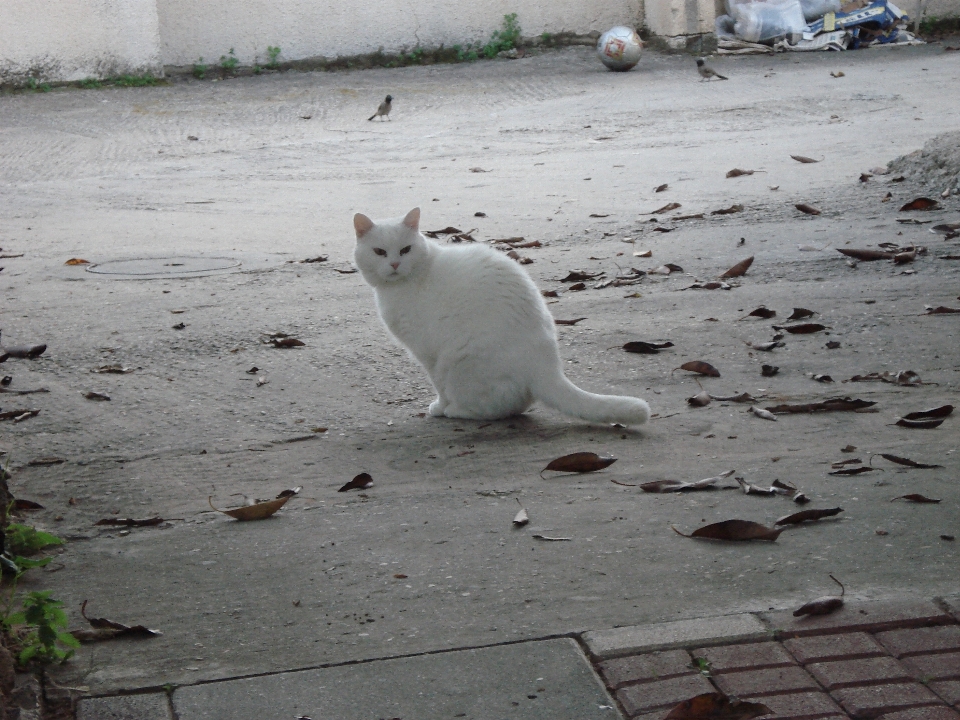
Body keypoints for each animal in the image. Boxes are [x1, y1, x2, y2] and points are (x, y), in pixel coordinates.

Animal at [352, 205, 652, 424]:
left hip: (457, 362)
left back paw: (456, 410)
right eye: (379, 252)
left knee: (495, 407)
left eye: (406, 250)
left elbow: (438, 386)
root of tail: (547, 365)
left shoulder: (428, 354)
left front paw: (440, 406)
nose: (394, 264)